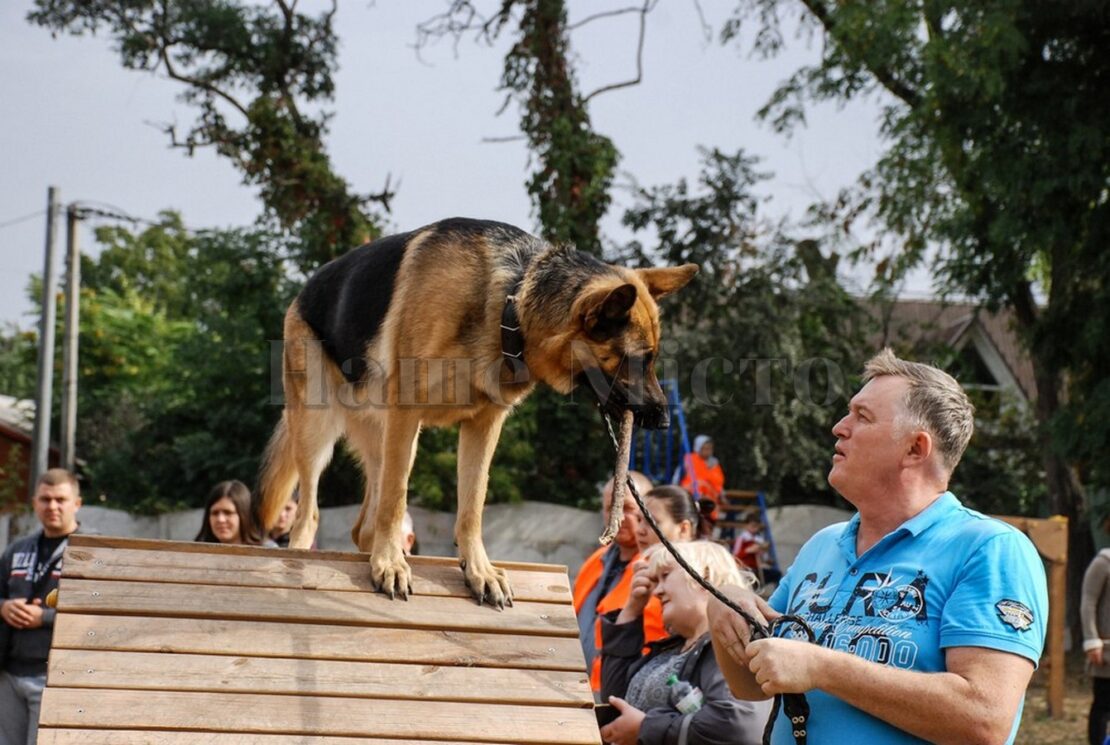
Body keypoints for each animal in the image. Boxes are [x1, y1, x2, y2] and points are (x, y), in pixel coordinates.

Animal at [255, 218, 697, 608]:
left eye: (652, 359)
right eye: (638, 360)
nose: (664, 420)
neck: (511, 302)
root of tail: (303, 290)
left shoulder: (483, 426)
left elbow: (472, 506)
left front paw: (478, 571)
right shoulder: (407, 411)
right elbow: (397, 502)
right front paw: (389, 564)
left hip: (391, 442)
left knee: (364, 523)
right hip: (321, 431)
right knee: (312, 513)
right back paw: (317, 559)